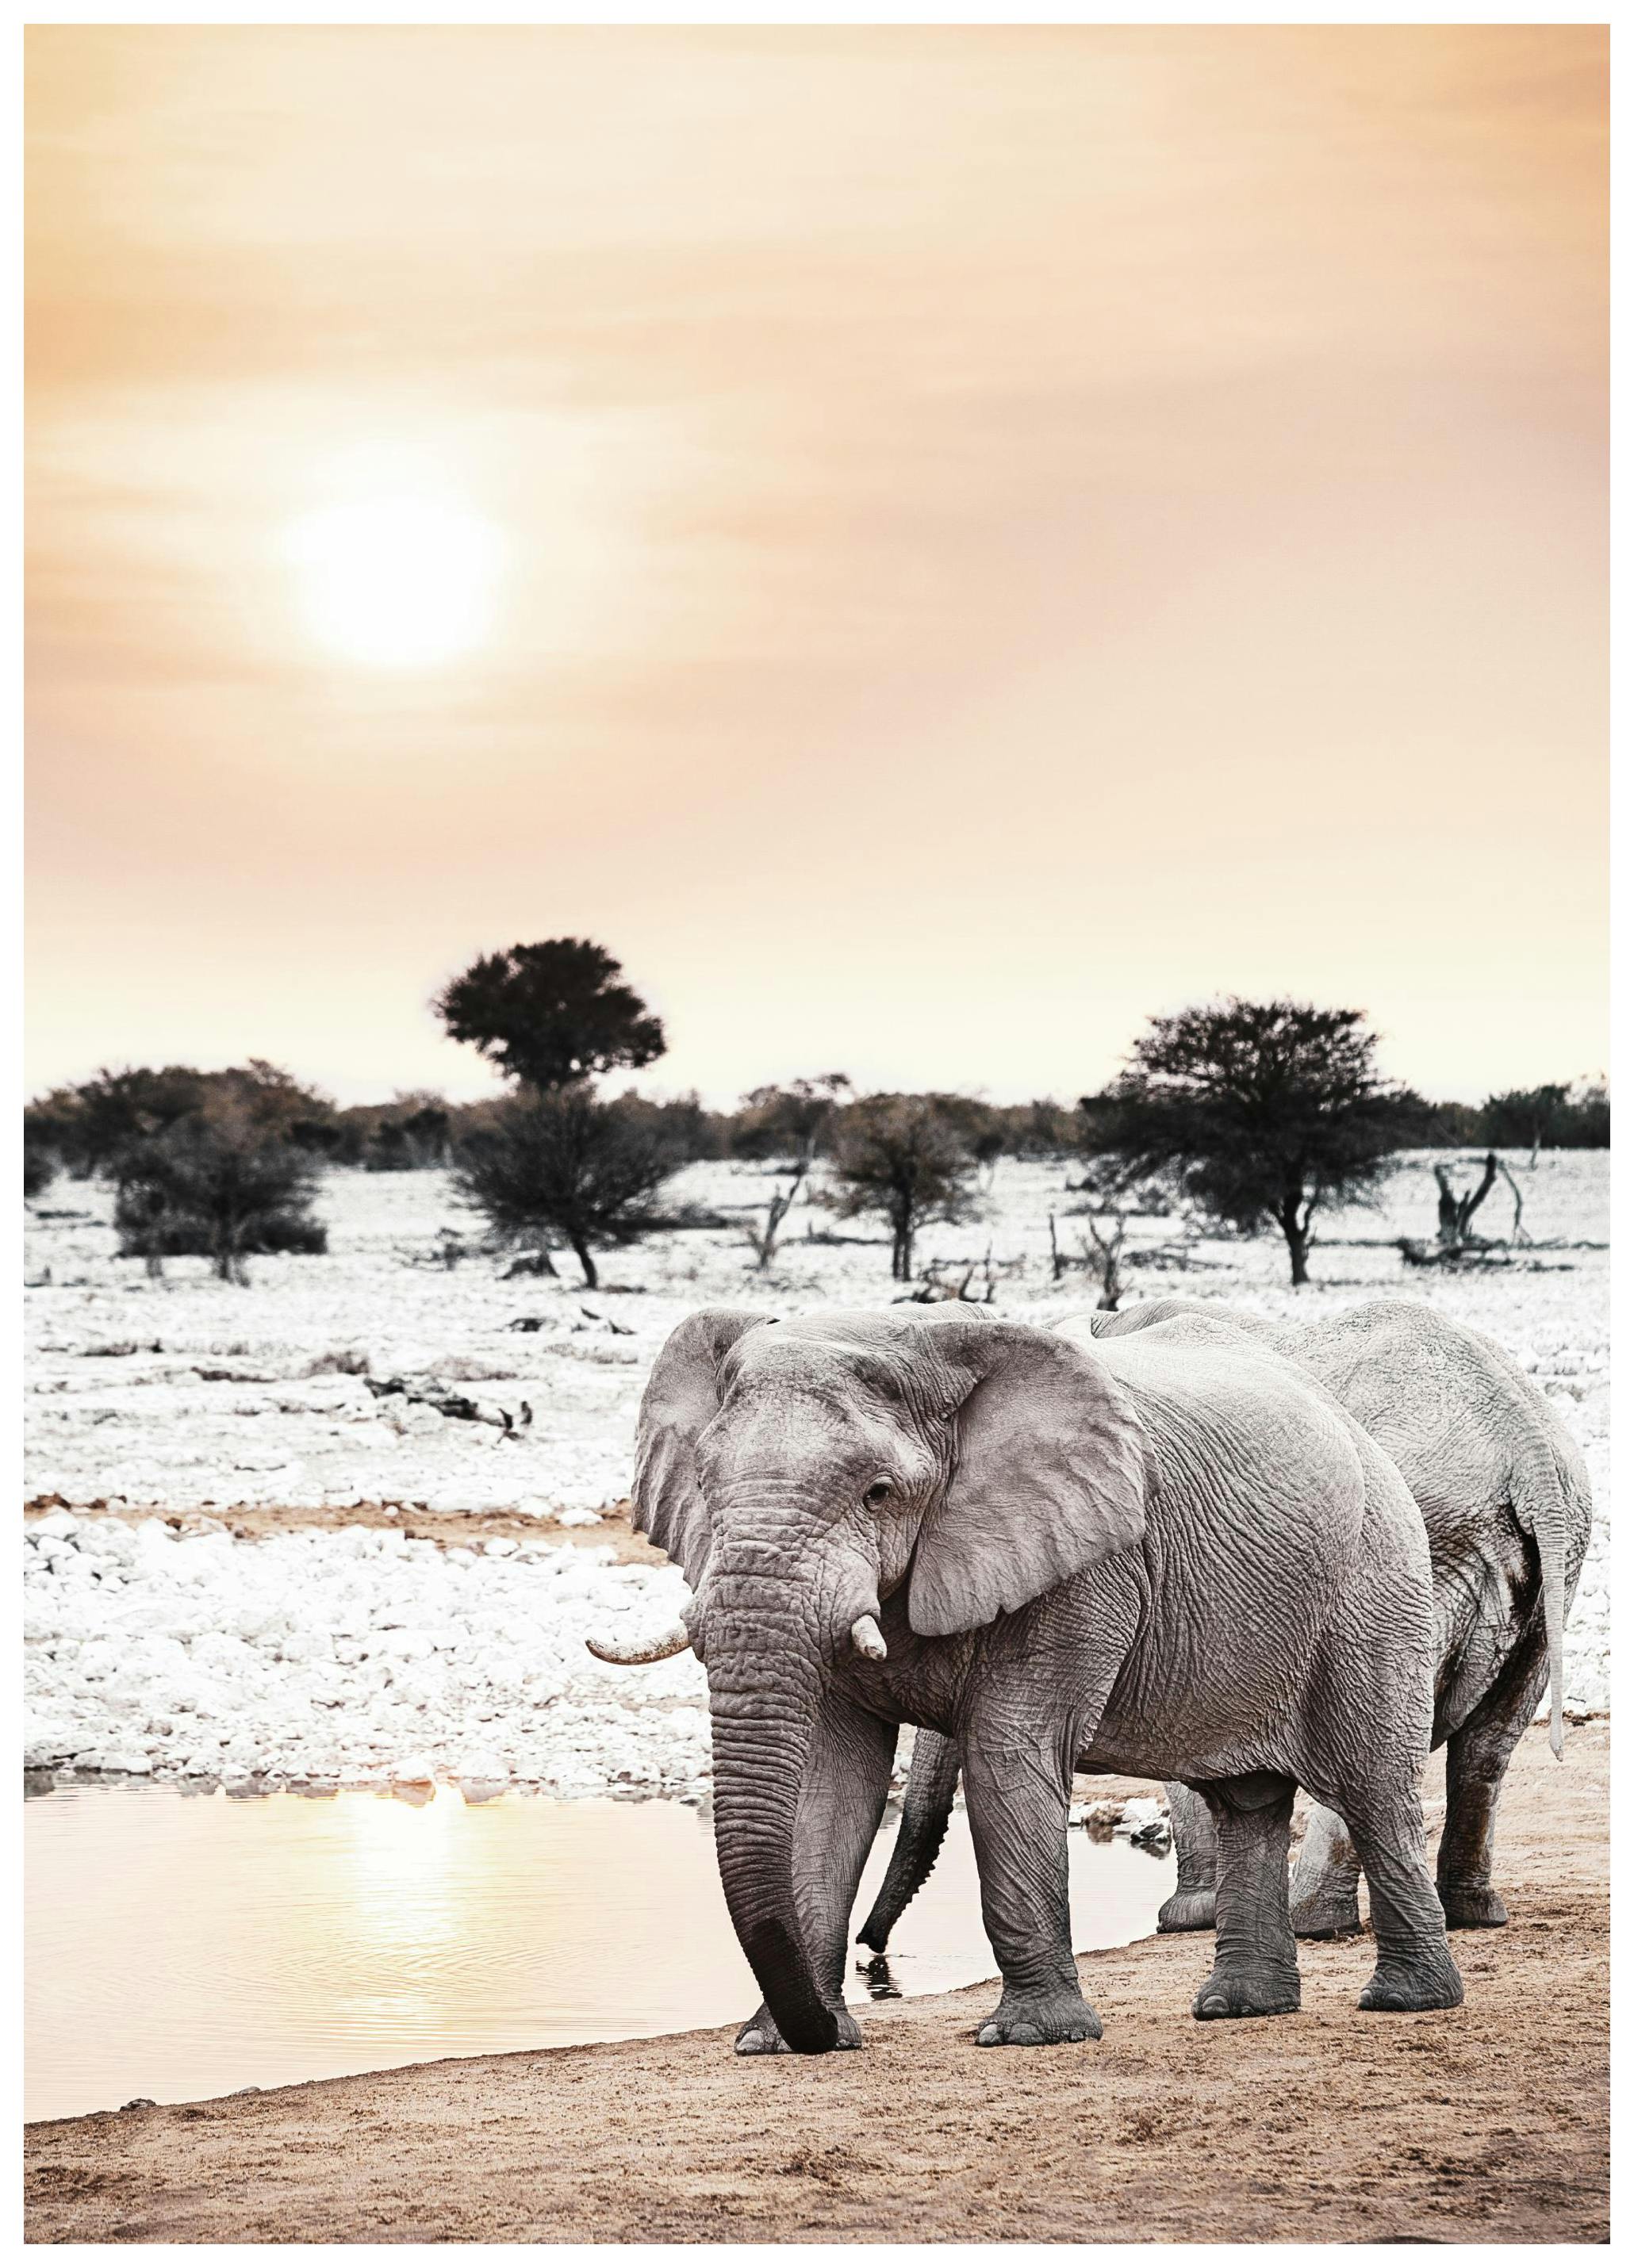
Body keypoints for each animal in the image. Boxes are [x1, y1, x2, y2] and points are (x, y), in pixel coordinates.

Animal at [590, 1303, 1463, 2055]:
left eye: (878, 1492)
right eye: (705, 1483)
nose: (872, 1967)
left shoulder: (1088, 1562)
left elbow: (1009, 1751)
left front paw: (1030, 2037)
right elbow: (830, 1784)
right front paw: (774, 2044)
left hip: (1375, 1587)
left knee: (1372, 1790)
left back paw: (1406, 2001)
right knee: (1246, 1801)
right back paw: (1239, 2007)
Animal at [857, 1297, 1591, 1961]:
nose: (871, 1953)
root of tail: (1526, 1440)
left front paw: (1187, 1918)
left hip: (1412, 1544)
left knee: (1373, 1734)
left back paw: (1313, 1922)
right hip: (1548, 1567)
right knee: (1489, 1744)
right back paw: (1471, 1915)